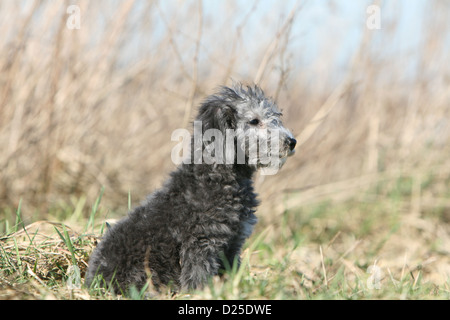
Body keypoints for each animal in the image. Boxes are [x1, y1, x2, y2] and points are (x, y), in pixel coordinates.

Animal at [85, 84, 296, 294]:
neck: (216, 176)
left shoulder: (233, 244)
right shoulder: (201, 244)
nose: (292, 141)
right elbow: (198, 277)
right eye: (254, 121)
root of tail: (92, 283)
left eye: (275, 117)